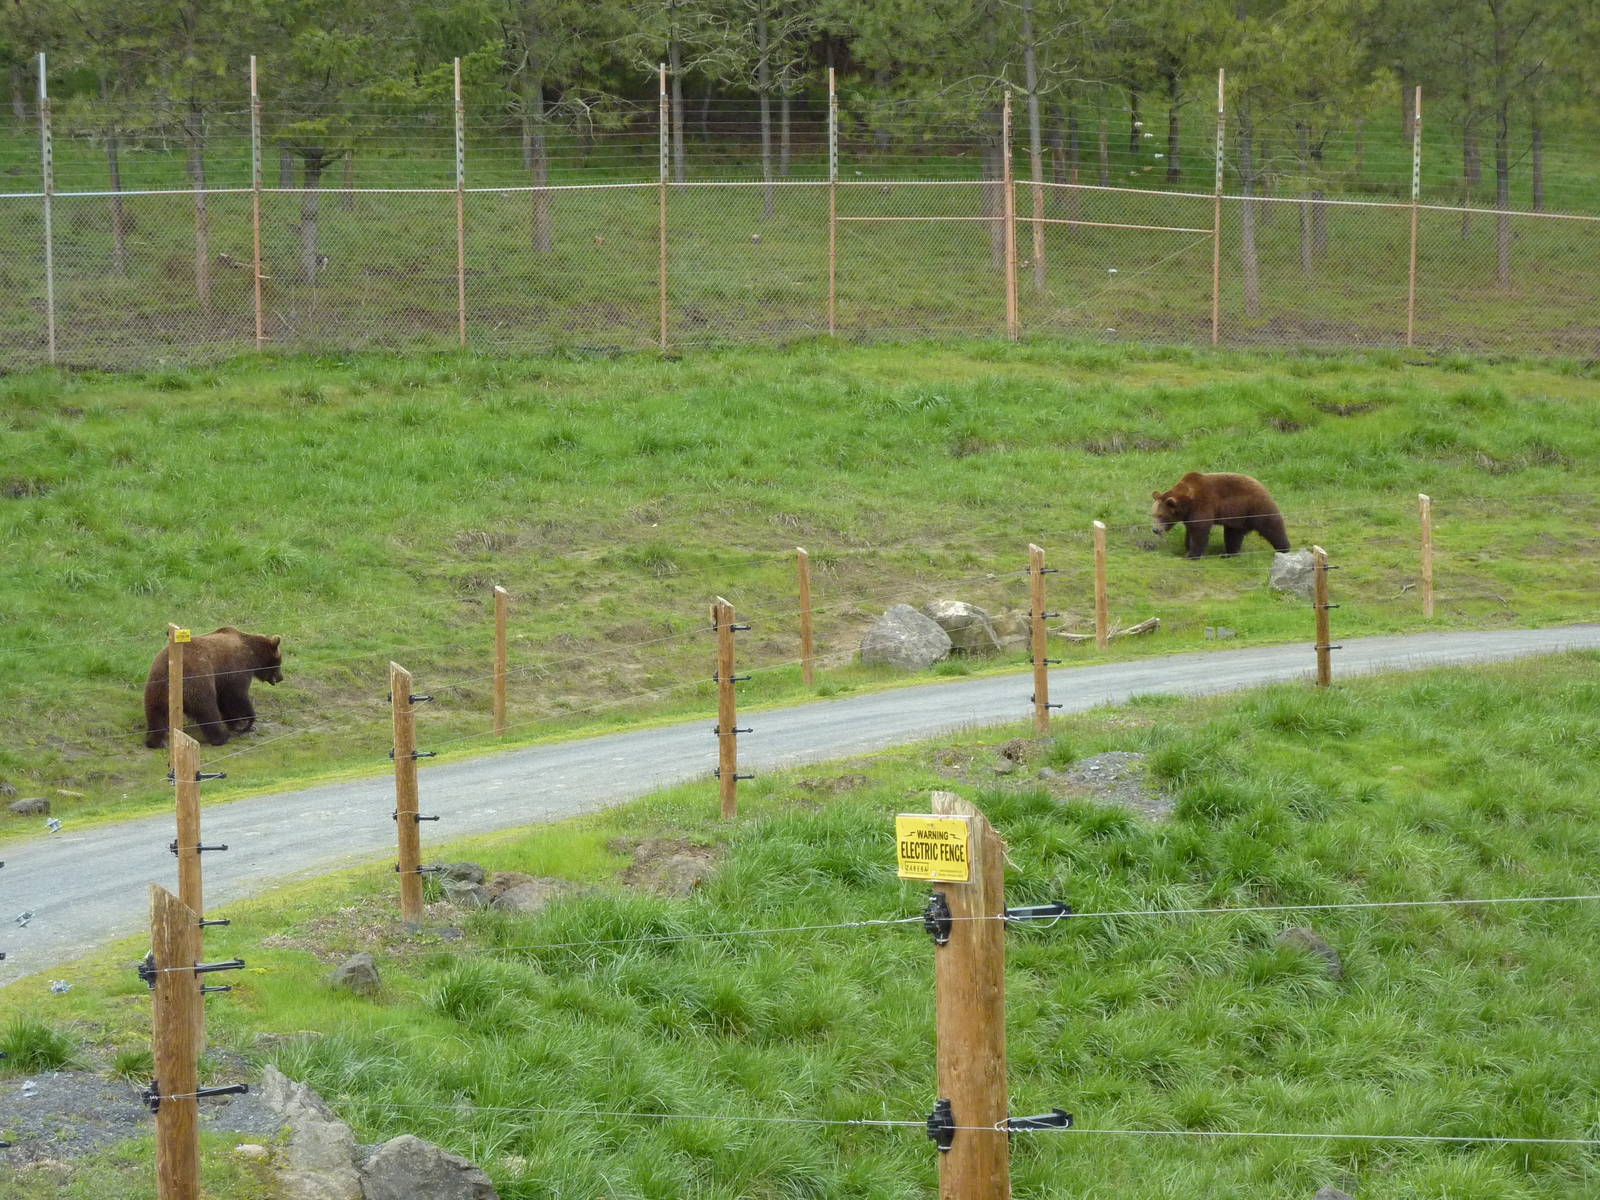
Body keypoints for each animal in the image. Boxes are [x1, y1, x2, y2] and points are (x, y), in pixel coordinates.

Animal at [143, 627, 283, 749]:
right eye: (279, 662)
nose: (281, 677)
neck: (253, 655)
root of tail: (170, 668)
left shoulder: (222, 679)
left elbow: (226, 701)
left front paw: (237, 724)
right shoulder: (236, 668)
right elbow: (237, 696)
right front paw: (247, 722)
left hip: (156, 685)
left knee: (155, 712)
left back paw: (155, 741)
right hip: (197, 678)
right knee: (207, 708)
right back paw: (221, 737)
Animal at [1150, 472, 1290, 559]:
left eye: (1161, 515)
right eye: (1153, 514)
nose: (1155, 530)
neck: (1188, 502)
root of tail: (1263, 486)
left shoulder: (1203, 504)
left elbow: (1199, 530)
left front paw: (1192, 555)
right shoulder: (1189, 514)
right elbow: (1190, 530)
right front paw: (1186, 550)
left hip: (1256, 507)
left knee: (1271, 526)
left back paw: (1284, 549)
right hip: (1238, 517)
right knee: (1233, 535)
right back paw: (1228, 554)